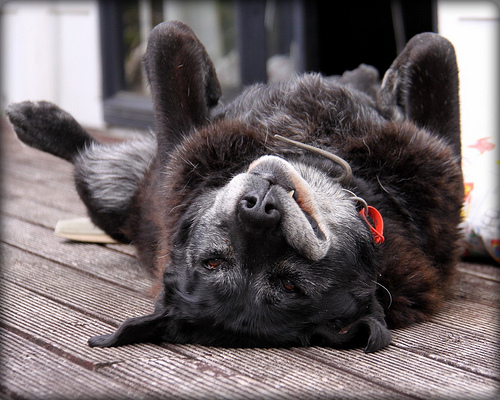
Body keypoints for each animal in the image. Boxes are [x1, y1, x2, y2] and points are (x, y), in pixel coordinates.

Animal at [4, 21, 464, 354]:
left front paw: (378, 77)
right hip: (111, 187)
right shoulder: (175, 145)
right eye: (213, 262)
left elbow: (431, 46)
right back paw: (38, 122)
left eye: (290, 285)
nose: (257, 207)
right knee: (87, 160)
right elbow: (169, 38)